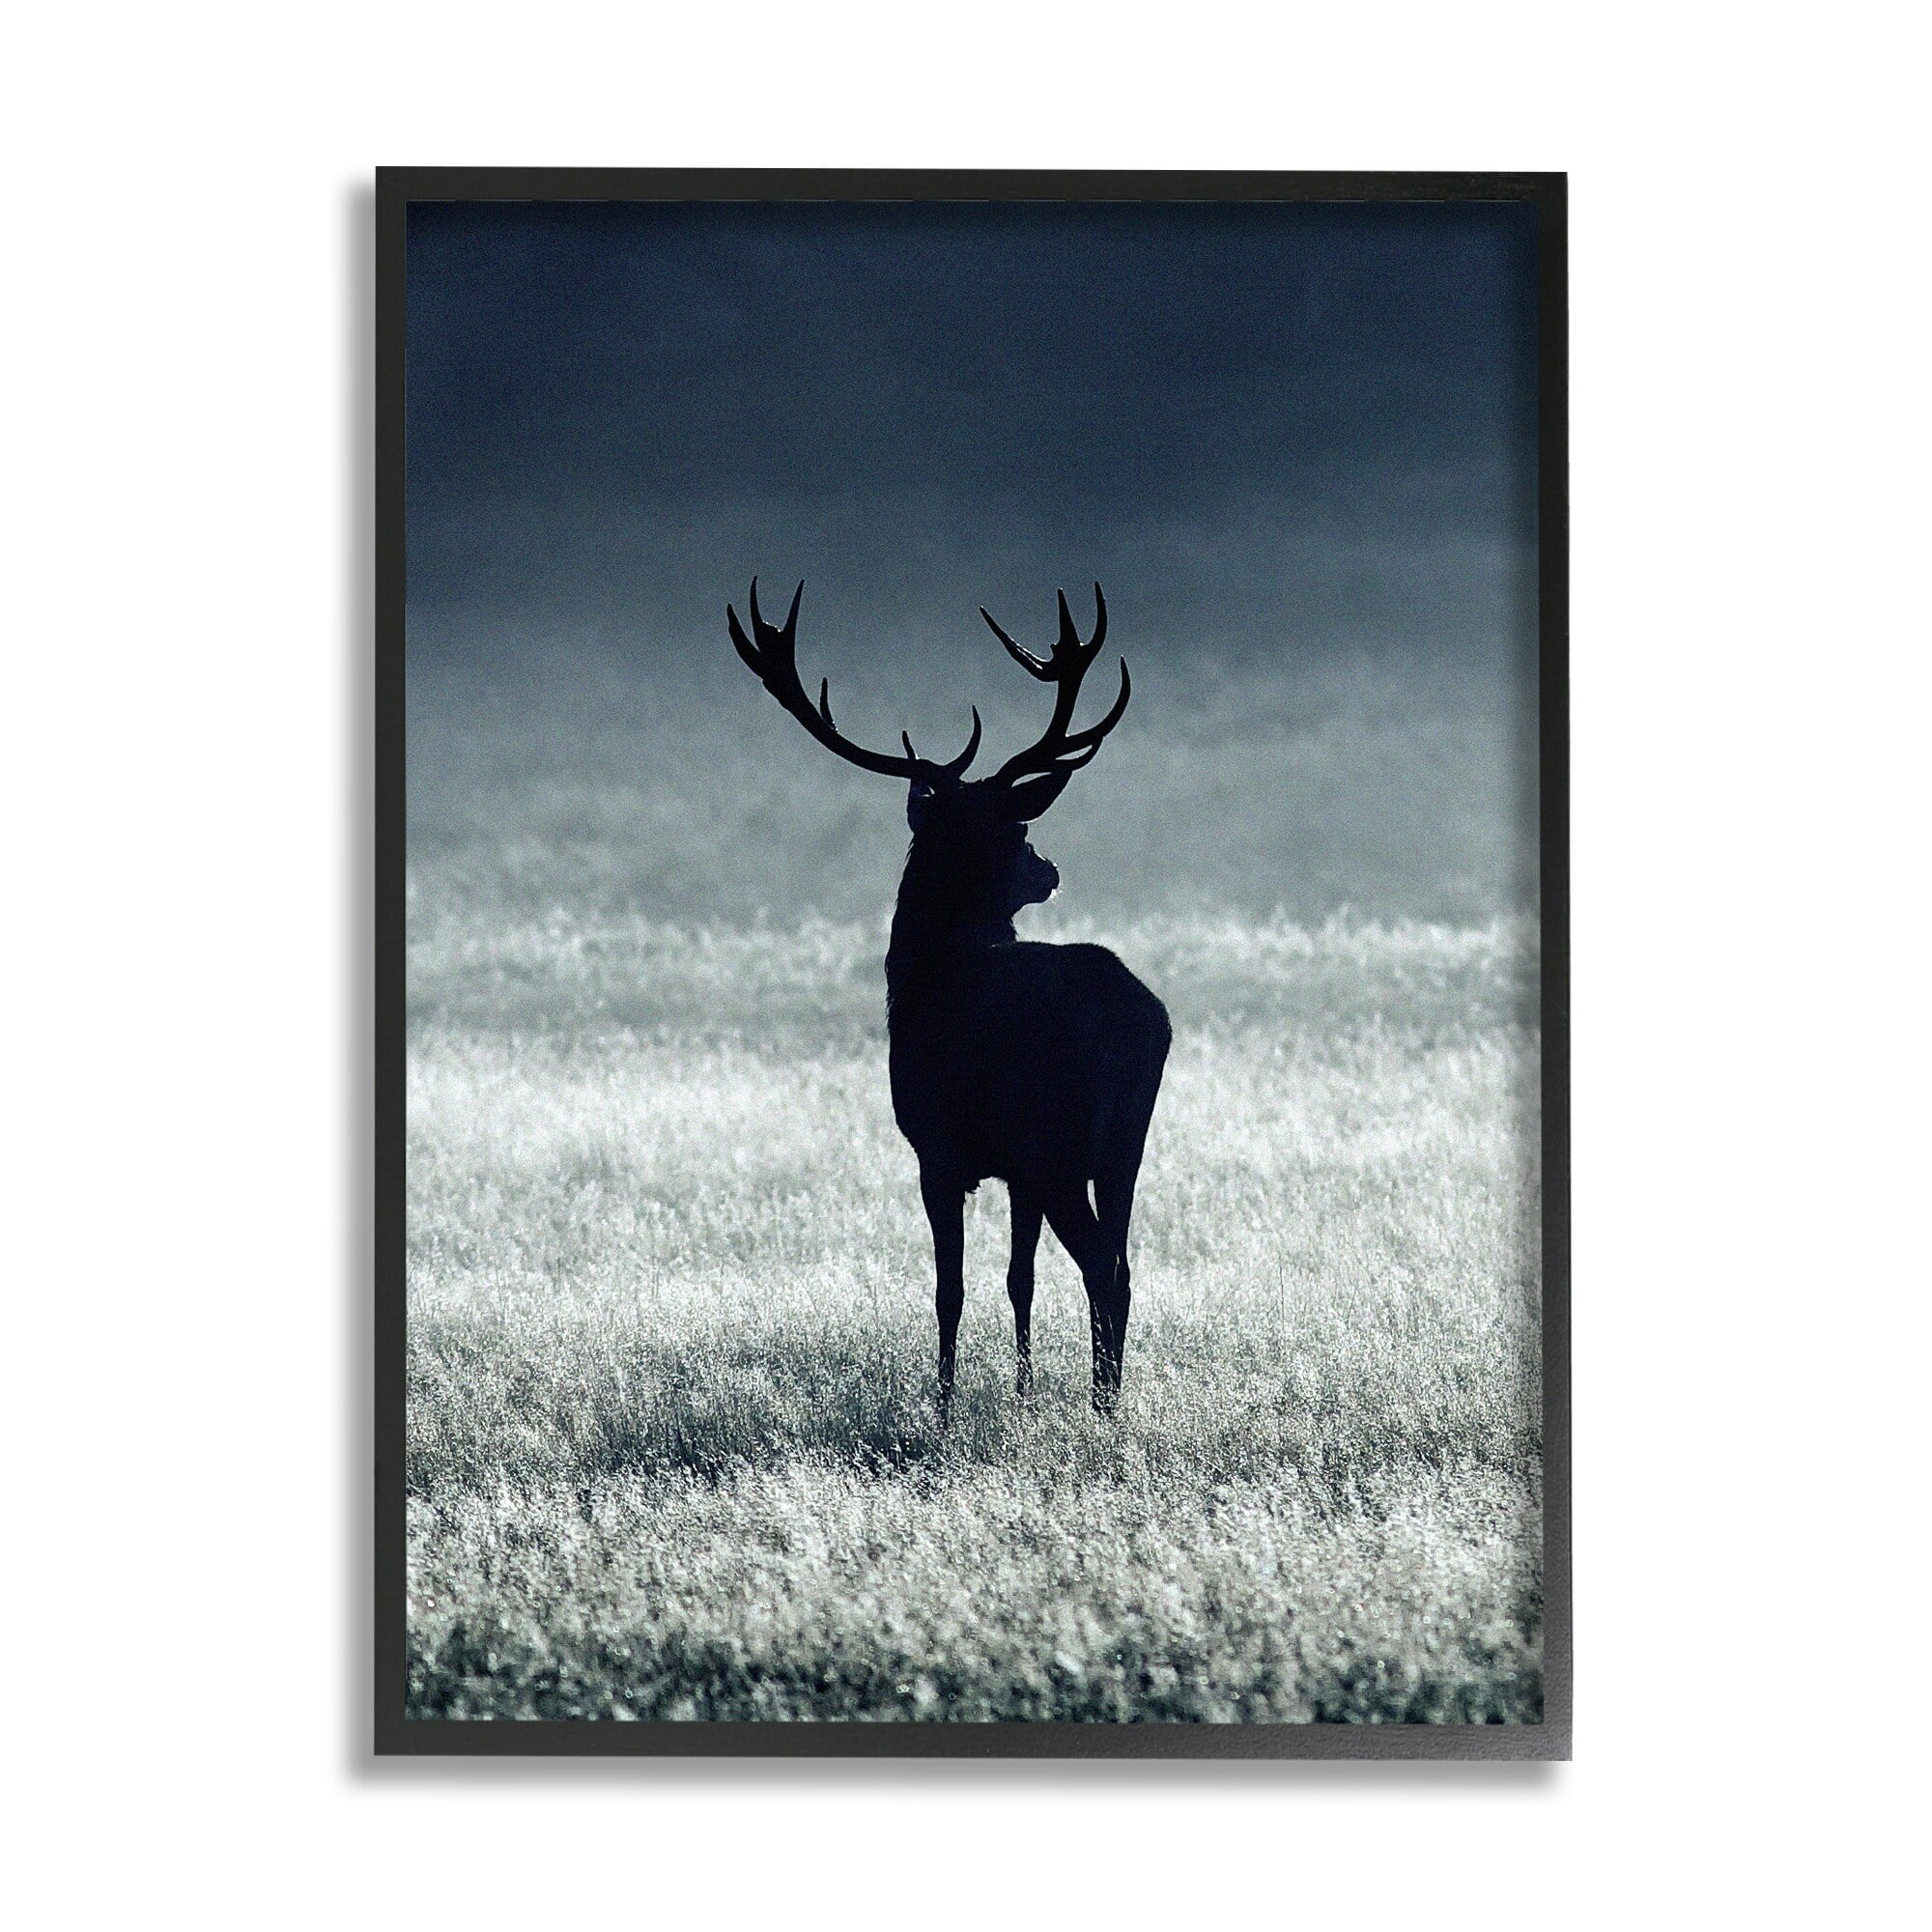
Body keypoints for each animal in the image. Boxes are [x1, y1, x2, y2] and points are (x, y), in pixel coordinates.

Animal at [728, 579, 1170, 1417]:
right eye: (1019, 831)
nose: (1049, 870)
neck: (920, 975)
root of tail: (1141, 1020)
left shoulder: (937, 1149)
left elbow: (949, 1289)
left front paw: (942, 1404)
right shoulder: (1014, 1171)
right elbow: (1019, 1280)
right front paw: (1023, 1391)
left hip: (1054, 1137)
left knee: (1102, 1266)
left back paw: (1104, 1405)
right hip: (1123, 1143)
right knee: (1123, 1263)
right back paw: (1109, 1395)